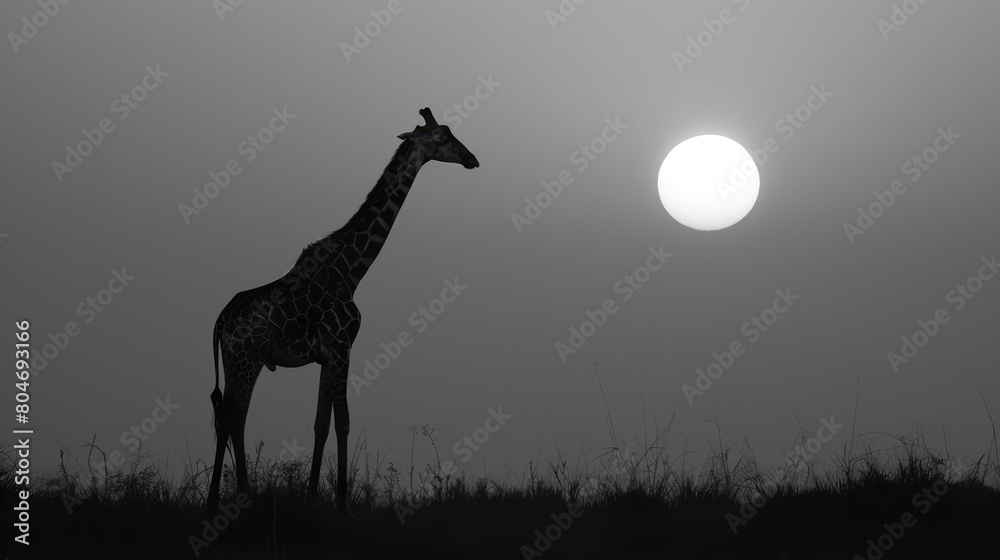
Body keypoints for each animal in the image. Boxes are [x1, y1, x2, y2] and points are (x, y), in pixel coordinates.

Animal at [206, 108, 479, 513]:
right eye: (442, 137)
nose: (472, 159)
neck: (352, 270)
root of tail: (219, 323)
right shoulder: (342, 346)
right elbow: (344, 421)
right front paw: (342, 501)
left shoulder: (325, 356)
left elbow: (320, 423)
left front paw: (311, 495)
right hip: (247, 358)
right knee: (233, 416)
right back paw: (232, 497)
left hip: (233, 360)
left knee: (228, 417)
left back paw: (226, 497)